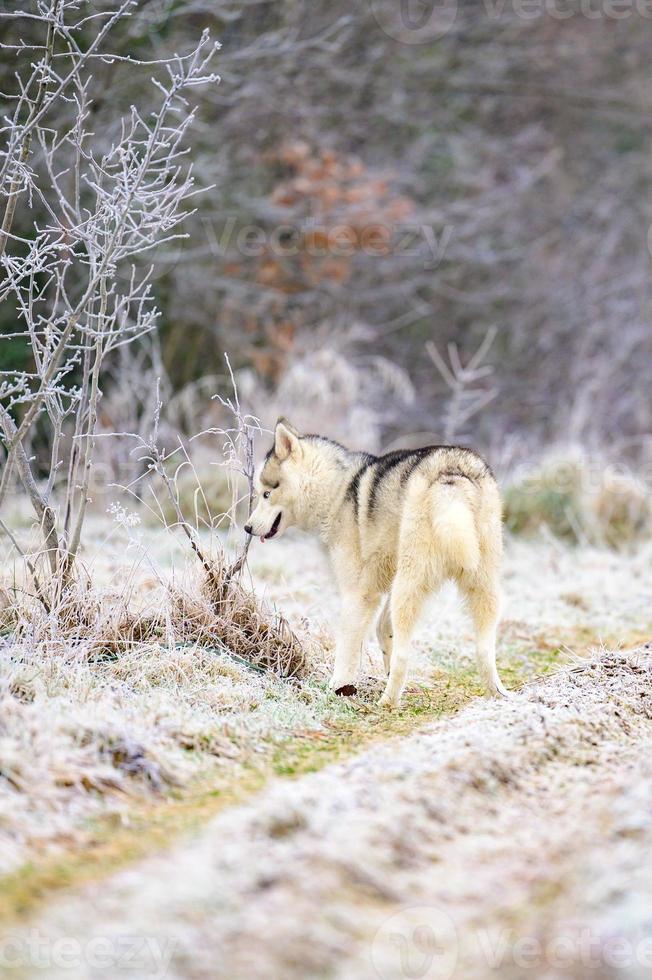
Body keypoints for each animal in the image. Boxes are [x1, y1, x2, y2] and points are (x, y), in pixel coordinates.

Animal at [247, 420, 506, 704]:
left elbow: (347, 647)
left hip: (409, 584)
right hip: (481, 585)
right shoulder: (385, 584)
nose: (247, 527)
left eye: (266, 494)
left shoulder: (358, 594)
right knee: (484, 649)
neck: (337, 490)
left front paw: (336, 689)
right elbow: (383, 629)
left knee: (404, 654)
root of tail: (450, 473)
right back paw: (498, 694)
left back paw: (388, 701)